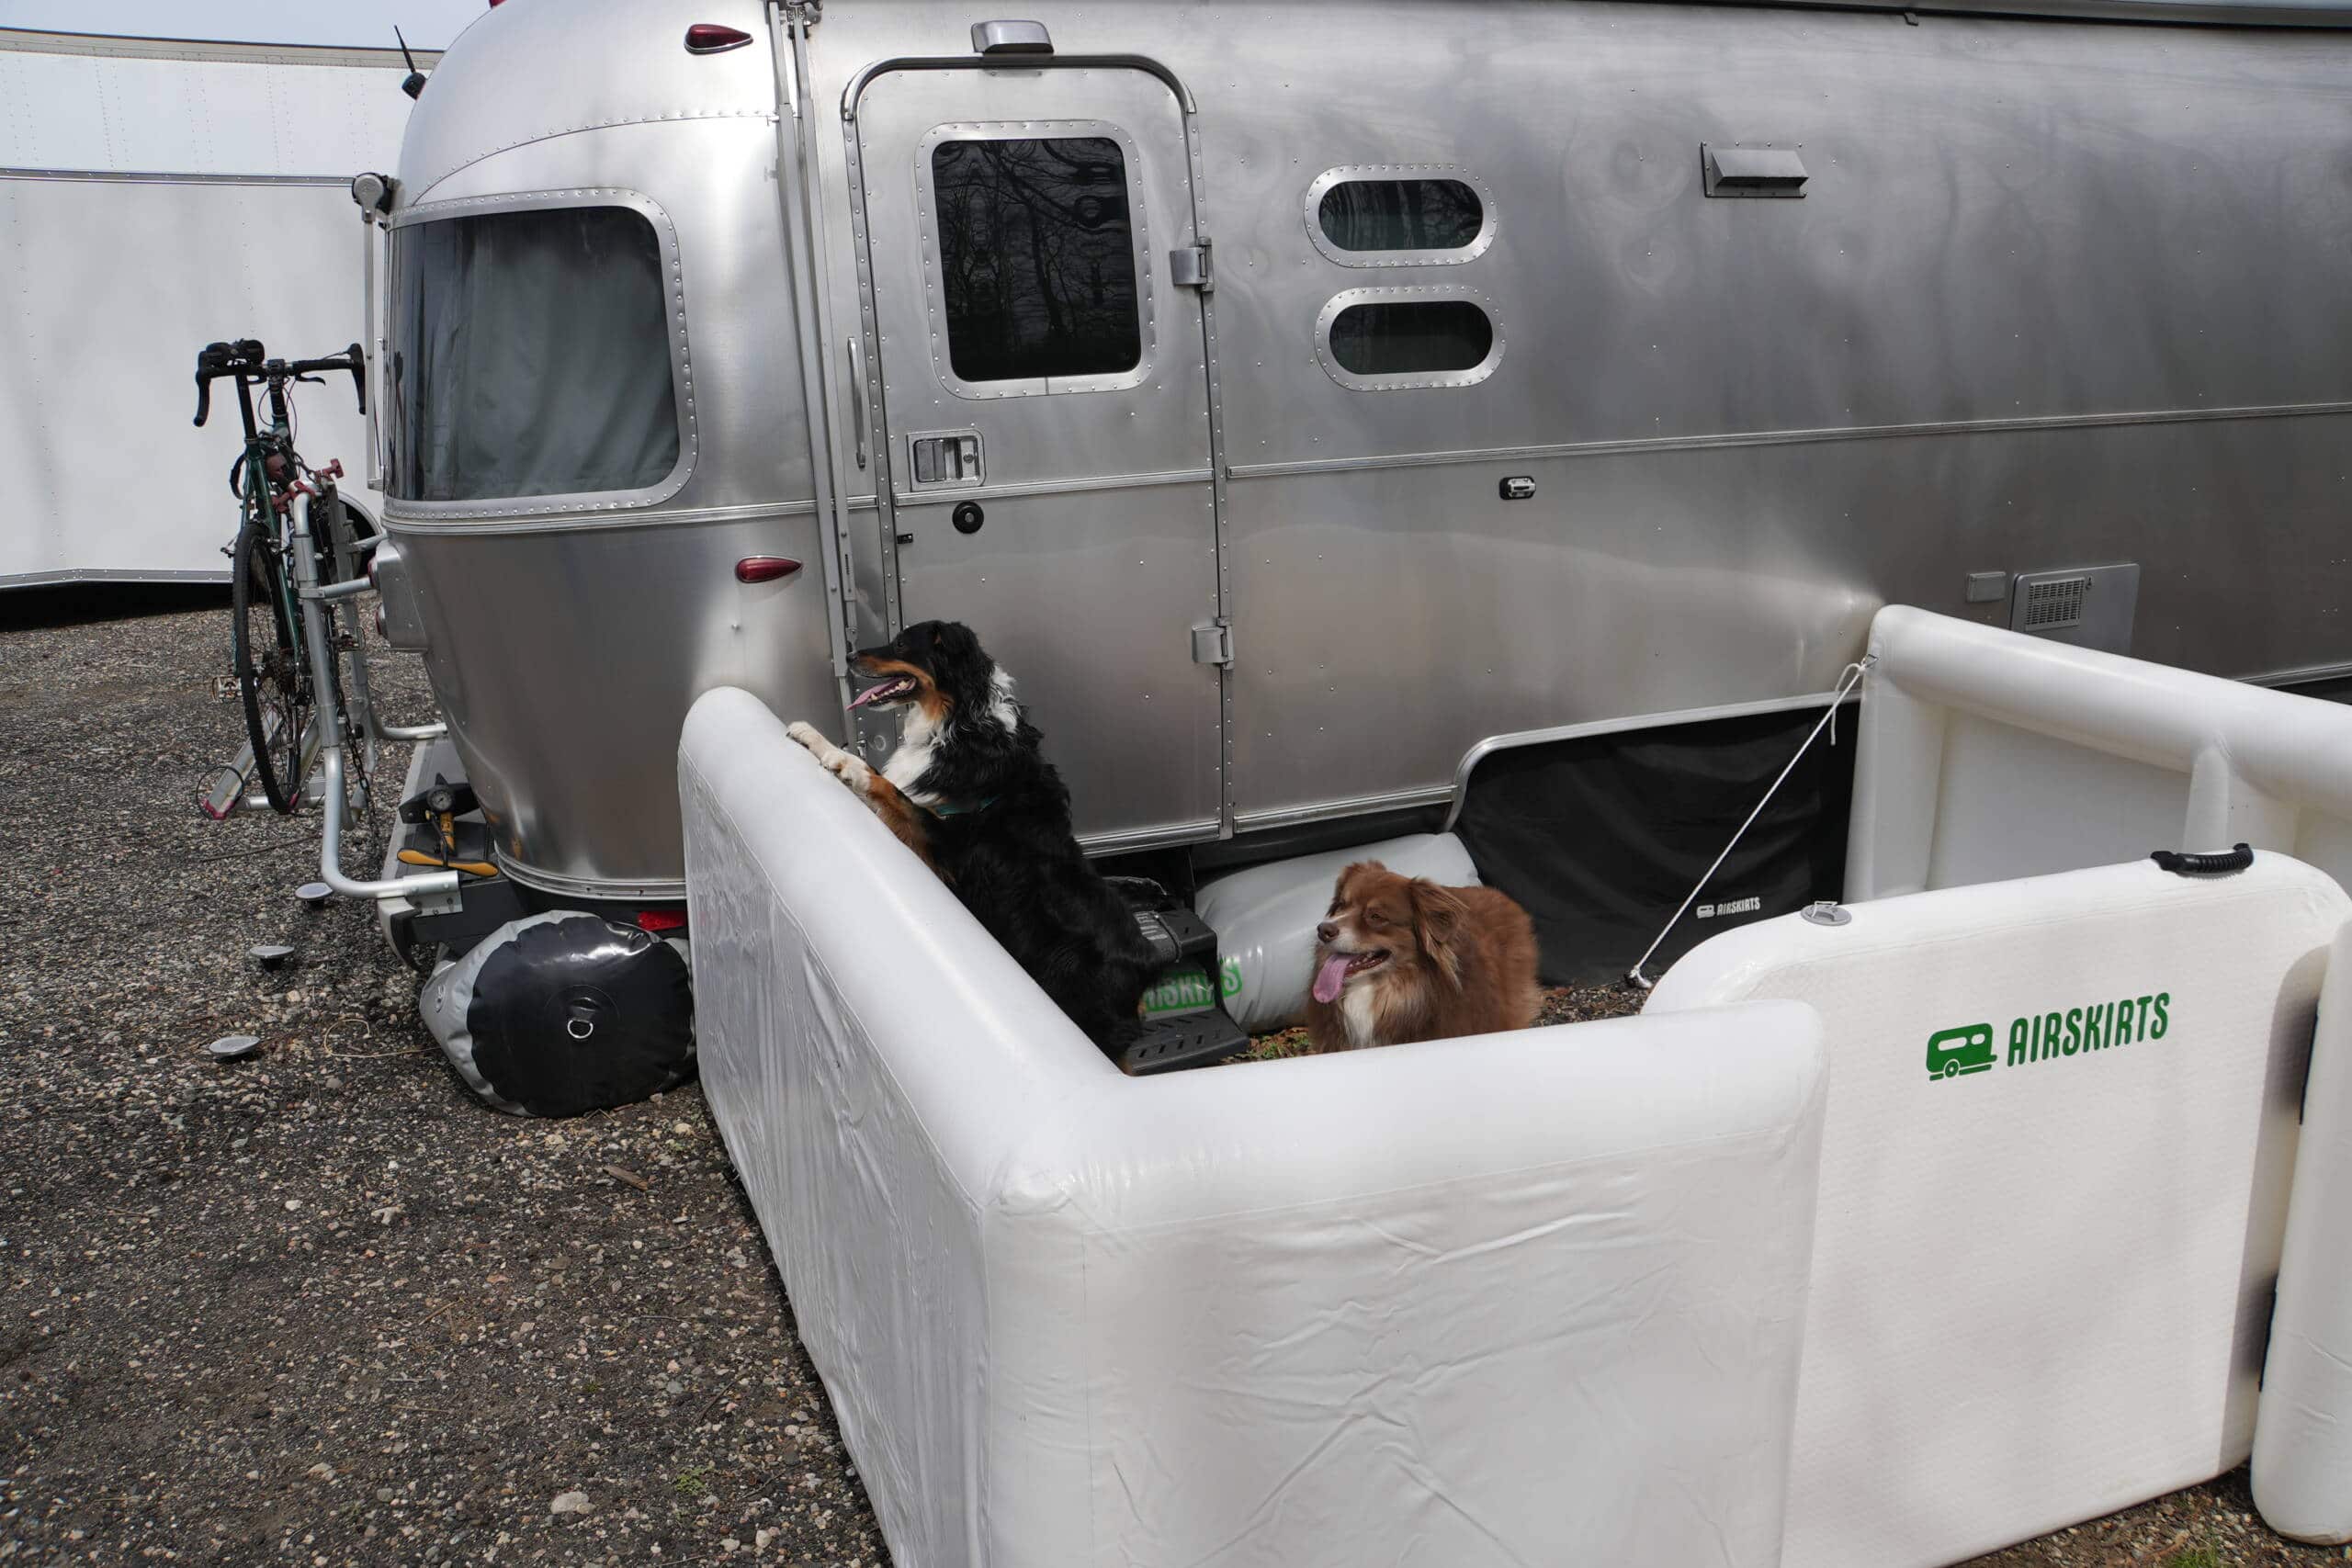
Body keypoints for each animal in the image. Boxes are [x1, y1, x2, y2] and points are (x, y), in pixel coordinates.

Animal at [790, 620, 1157, 1053]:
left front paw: (835, 755)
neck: (958, 723)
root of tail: (1149, 962)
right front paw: (816, 738)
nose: (848, 656)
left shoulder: (945, 847)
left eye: (901, 644)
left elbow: (884, 783)